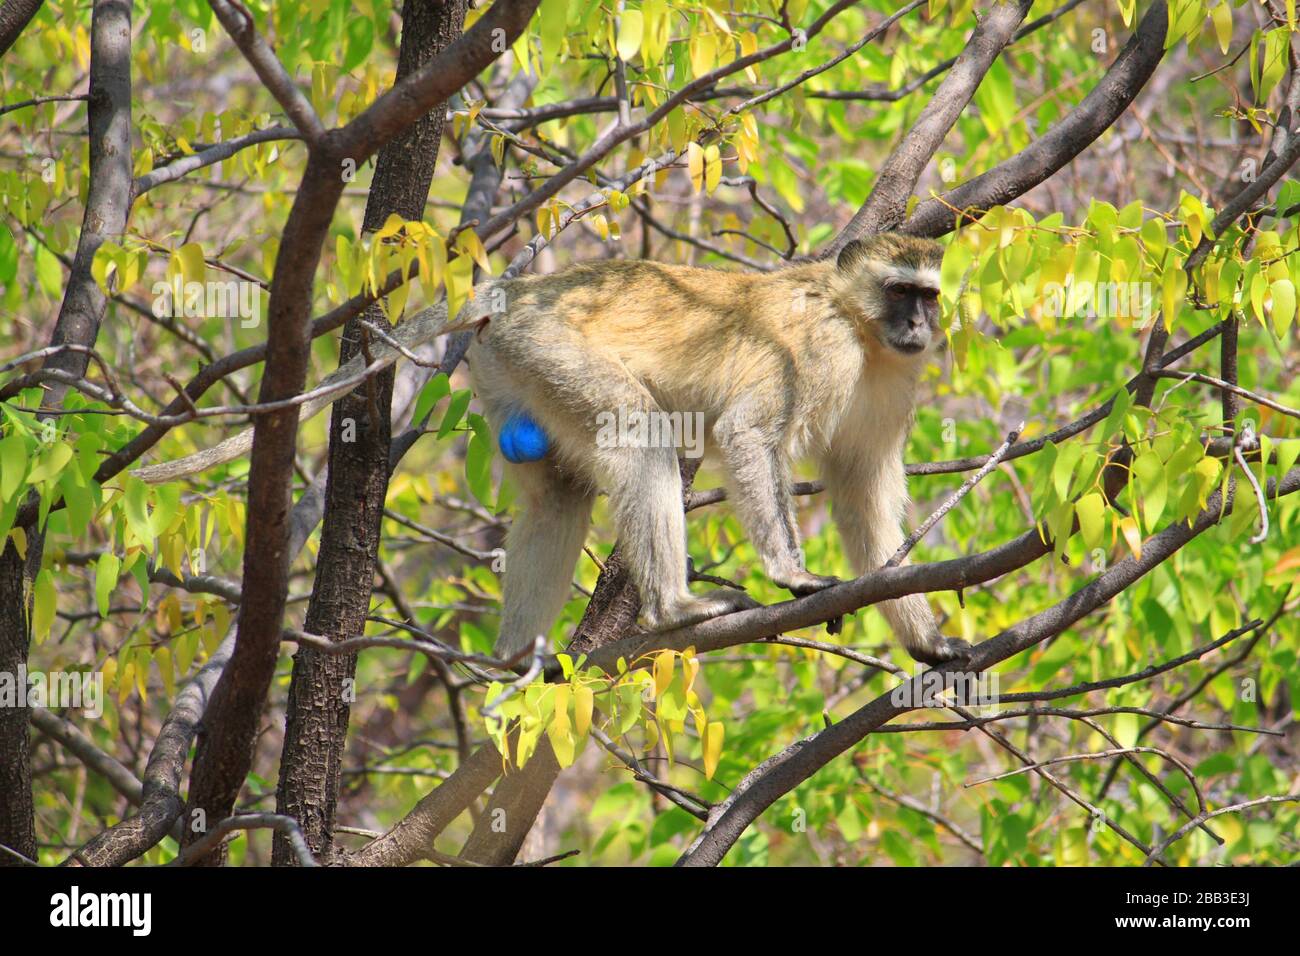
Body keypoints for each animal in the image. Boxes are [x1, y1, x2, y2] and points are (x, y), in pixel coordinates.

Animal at [139, 231, 977, 665]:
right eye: (900, 290)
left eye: (927, 296)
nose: (917, 325)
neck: (863, 332)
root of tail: (519, 293)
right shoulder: (818, 346)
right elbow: (749, 434)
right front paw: (792, 577)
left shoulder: (895, 383)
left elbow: (862, 489)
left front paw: (925, 637)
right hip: (549, 346)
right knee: (640, 435)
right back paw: (672, 609)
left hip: (513, 368)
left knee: (558, 495)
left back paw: (515, 659)